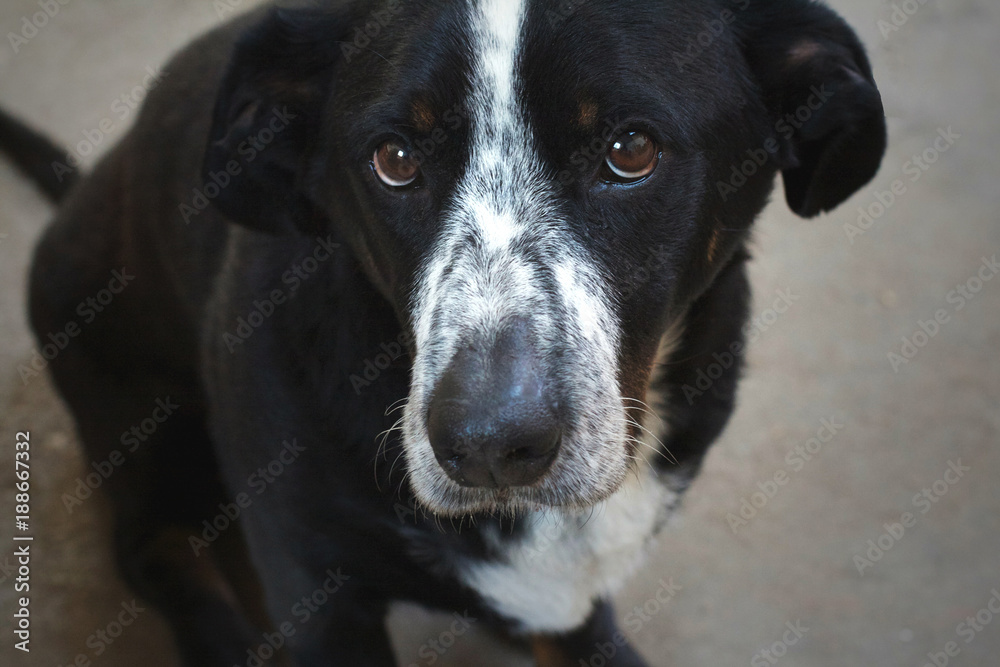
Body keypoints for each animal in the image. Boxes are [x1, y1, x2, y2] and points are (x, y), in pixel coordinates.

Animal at [3, 0, 888, 664]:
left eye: (631, 148)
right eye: (394, 159)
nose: (491, 445)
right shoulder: (316, 592)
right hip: (148, 430)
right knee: (150, 545)